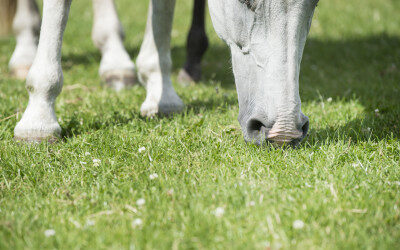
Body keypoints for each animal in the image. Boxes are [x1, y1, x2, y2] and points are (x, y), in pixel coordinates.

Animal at [6, 0, 318, 146]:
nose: (284, 131)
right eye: (246, 1)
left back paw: (115, 63)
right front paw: (39, 118)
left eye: (313, 6)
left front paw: (161, 92)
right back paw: (25, 50)